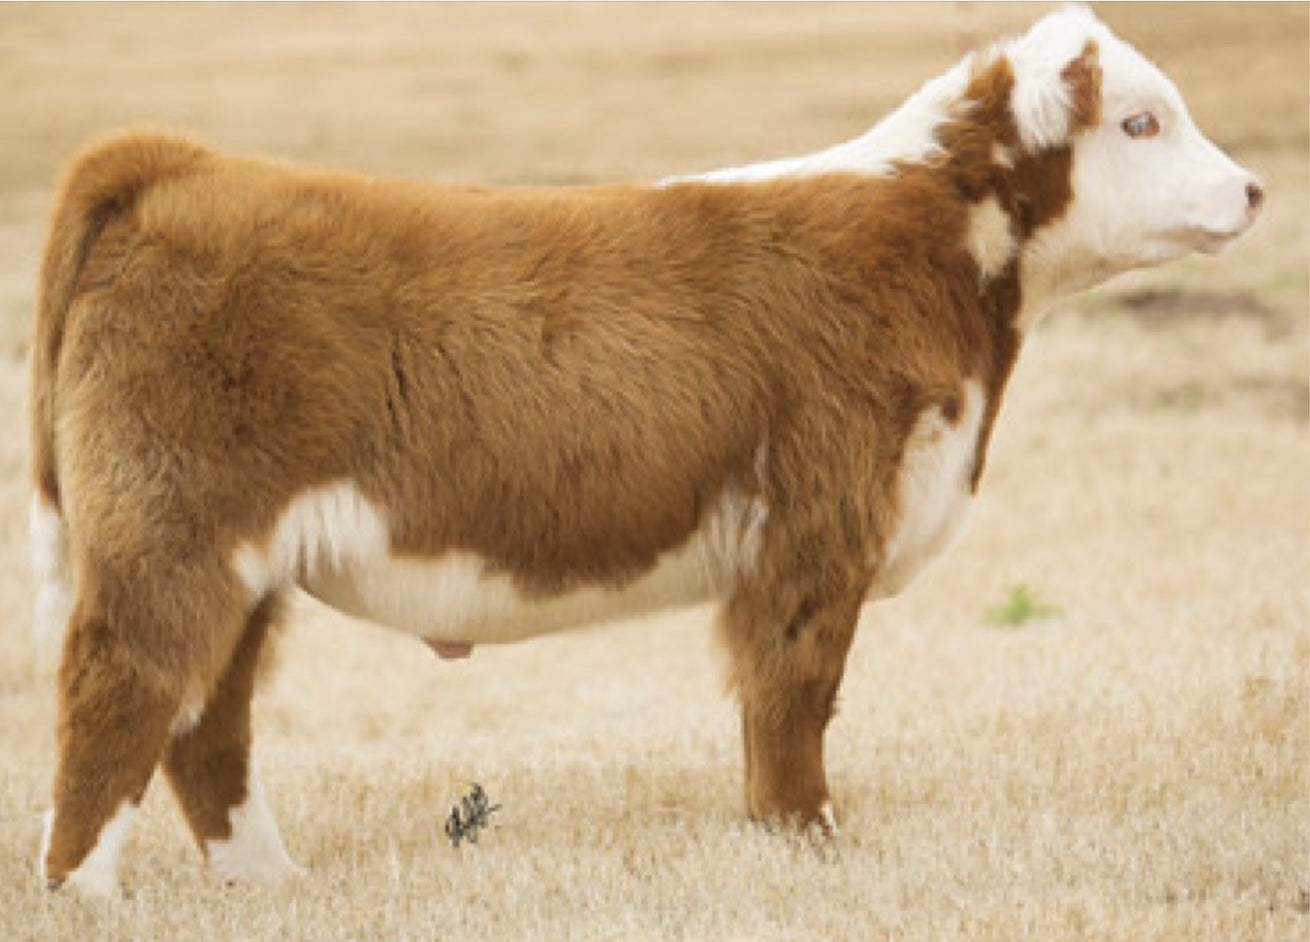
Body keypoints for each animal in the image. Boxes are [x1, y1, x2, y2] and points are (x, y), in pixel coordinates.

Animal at [29, 7, 1261, 895]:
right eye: (1141, 123)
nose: (1251, 190)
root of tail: (185, 163)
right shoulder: (816, 526)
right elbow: (793, 693)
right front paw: (807, 845)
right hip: (171, 532)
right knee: (122, 685)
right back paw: (87, 896)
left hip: (235, 564)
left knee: (208, 718)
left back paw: (271, 884)